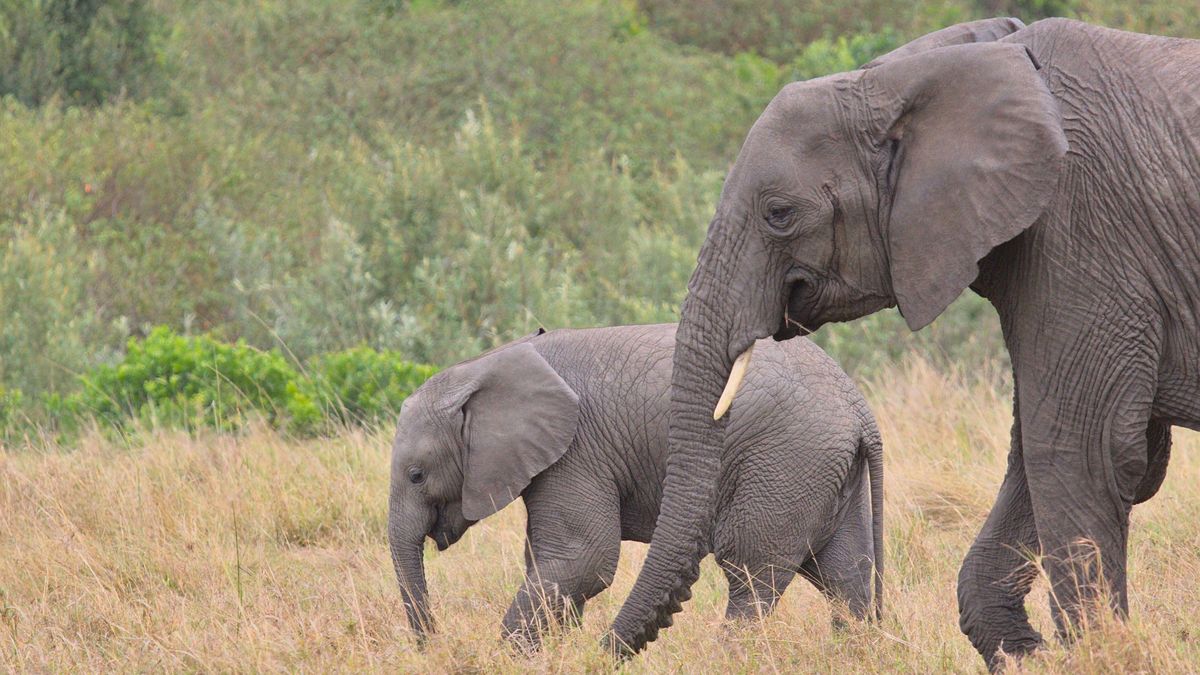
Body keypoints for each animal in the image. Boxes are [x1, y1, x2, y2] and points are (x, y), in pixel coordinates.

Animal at [387, 323, 883, 650]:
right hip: (825, 472)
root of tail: (859, 409)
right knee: (844, 574)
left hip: (786, 460)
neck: (485, 366)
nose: (433, 643)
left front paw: (513, 657)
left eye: (416, 475)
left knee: (750, 572)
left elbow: (584, 560)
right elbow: (553, 564)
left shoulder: (577, 451)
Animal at [606, 16, 1200, 670]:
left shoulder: (1082, 230)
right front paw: (1027, 655)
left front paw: (1094, 655)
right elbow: (1050, 454)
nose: (602, 648)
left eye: (779, 213)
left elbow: (1082, 449)